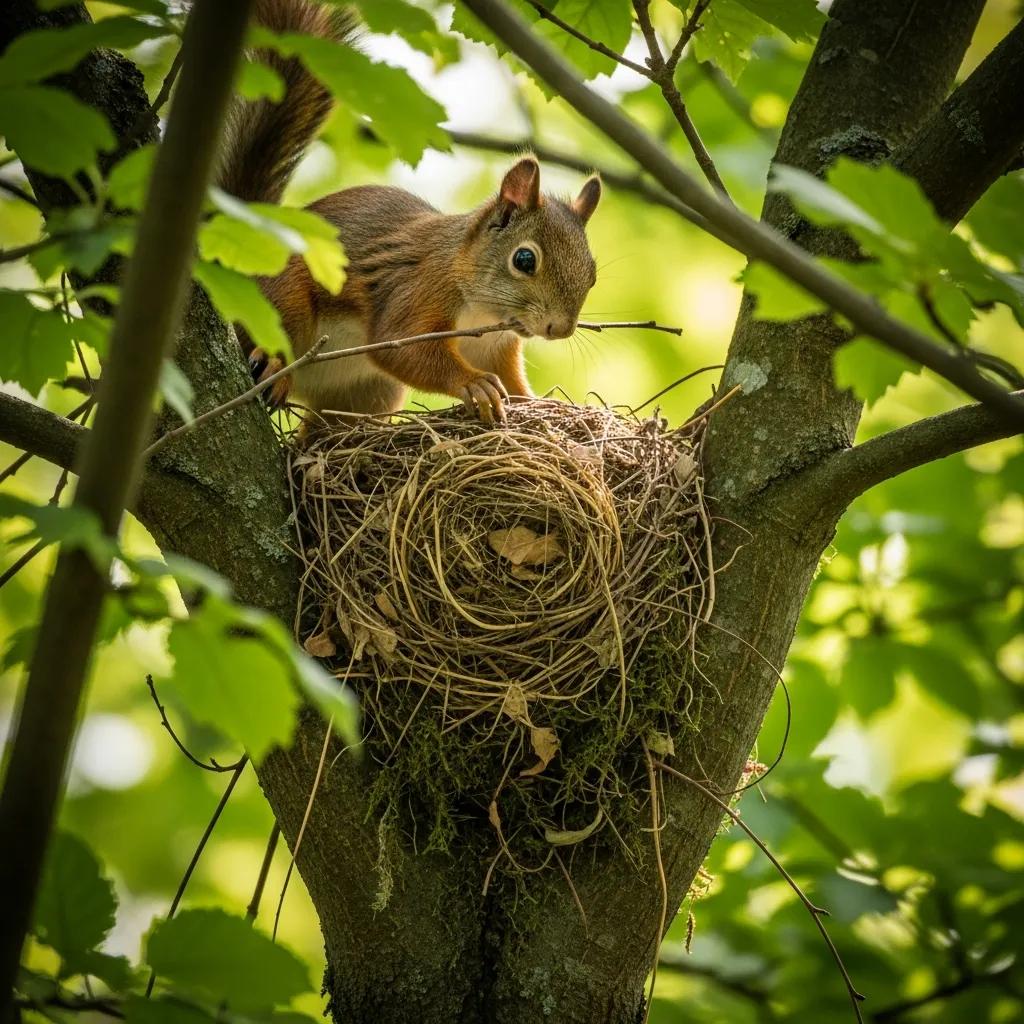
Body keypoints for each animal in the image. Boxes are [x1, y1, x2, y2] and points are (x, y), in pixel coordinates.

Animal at [216, 0, 601, 424]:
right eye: (525, 260)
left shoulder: (495, 346)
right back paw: (274, 367)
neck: (483, 313)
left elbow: (513, 384)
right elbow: (401, 347)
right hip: (281, 293)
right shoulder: (417, 290)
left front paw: (541, 404)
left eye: (593, 275)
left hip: (367, 394)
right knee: (275, 329)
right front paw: (473, 383)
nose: (559, 329)